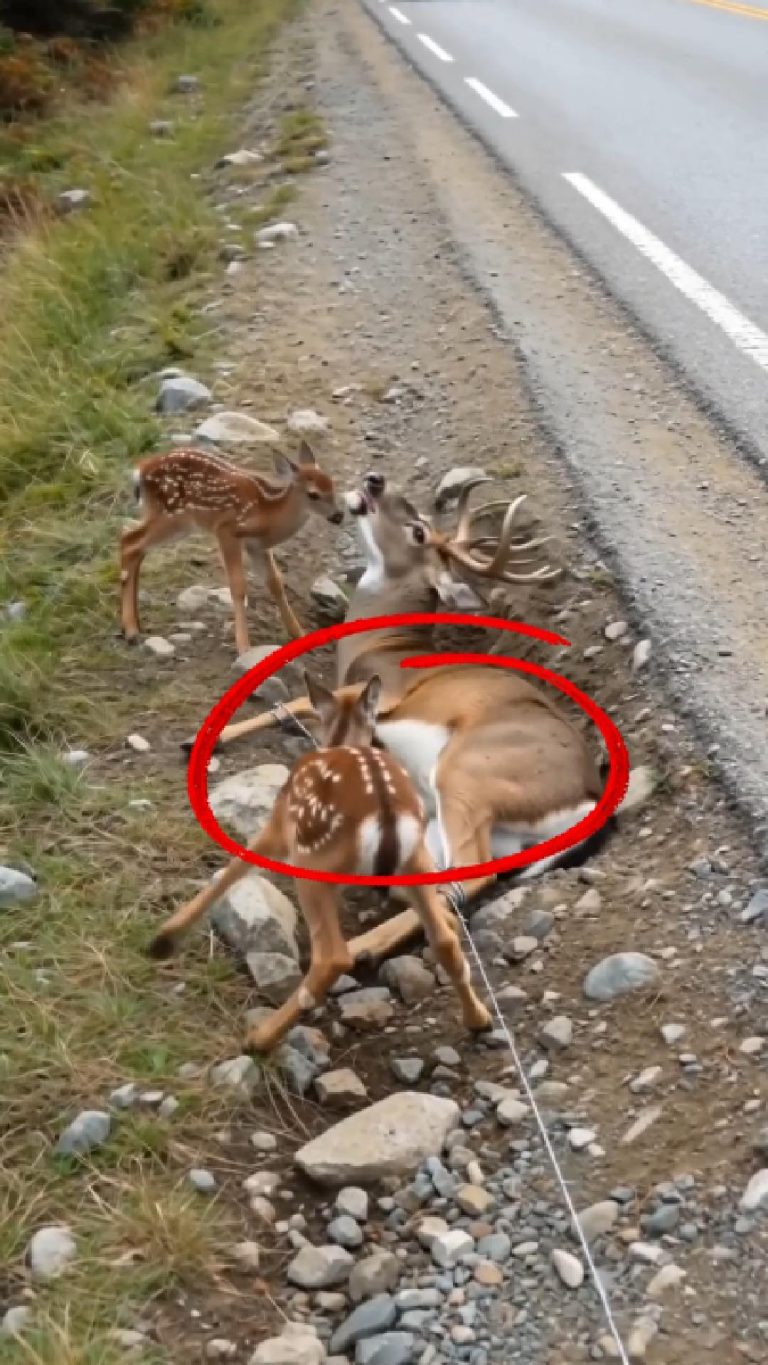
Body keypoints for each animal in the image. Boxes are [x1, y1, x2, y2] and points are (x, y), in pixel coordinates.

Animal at [119, 440, 343, 656]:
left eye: (332, 484)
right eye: (313, 494)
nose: (339, 515)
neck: (267, 513)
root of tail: (140, 471)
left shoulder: (257, 545)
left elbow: (276, 582)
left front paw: (299, 635)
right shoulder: (227, 530)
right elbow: (238, 586)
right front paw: (244, 646)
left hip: (168, 519)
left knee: (133, 542)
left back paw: (134, 625)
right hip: (172, 517)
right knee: (129, 542)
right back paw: (131, 630)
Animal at [149, 672, 492, 1054]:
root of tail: (387, 818)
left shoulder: (279, 825)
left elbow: (231, 870)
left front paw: (164, 940)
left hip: (314, 863)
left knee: (332, 956)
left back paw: (259, 1039)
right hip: (415, 858)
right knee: (444, 938)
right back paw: (479, 1020)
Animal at [186, 472, 654, 967]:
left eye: (418, 531)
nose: (375, 480)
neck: (383, 641)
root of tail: (590, 796)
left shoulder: (374, 696)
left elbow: (299, 703)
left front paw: (202, 740)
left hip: (466, 773)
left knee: (468, 875)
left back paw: (361, 949)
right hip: (488, 831)